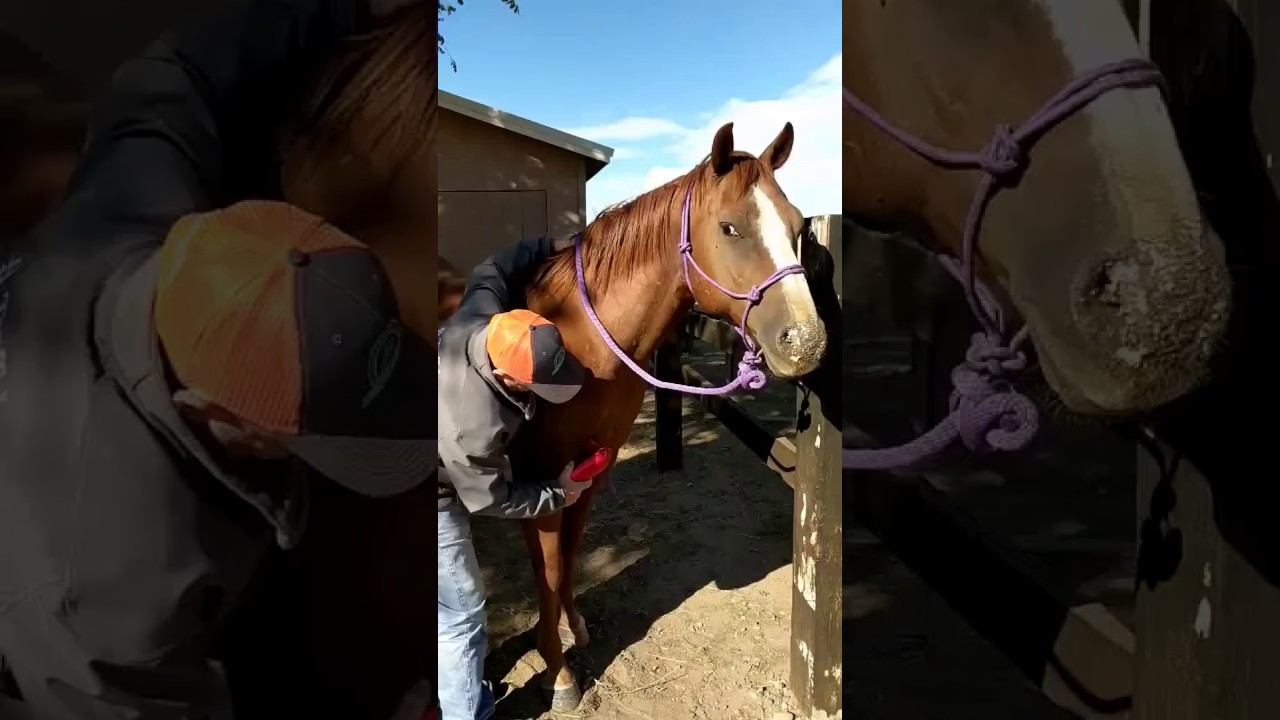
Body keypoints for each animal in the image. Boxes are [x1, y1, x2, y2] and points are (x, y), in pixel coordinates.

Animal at [497, 121, 829, 709]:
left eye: (796, 226)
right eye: (729, 227)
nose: (806, 341)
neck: (577, 342)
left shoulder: (590, 469)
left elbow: (572, 552)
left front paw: (571, 630)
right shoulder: (540, 476)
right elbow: (550, 566)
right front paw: (558, 673)